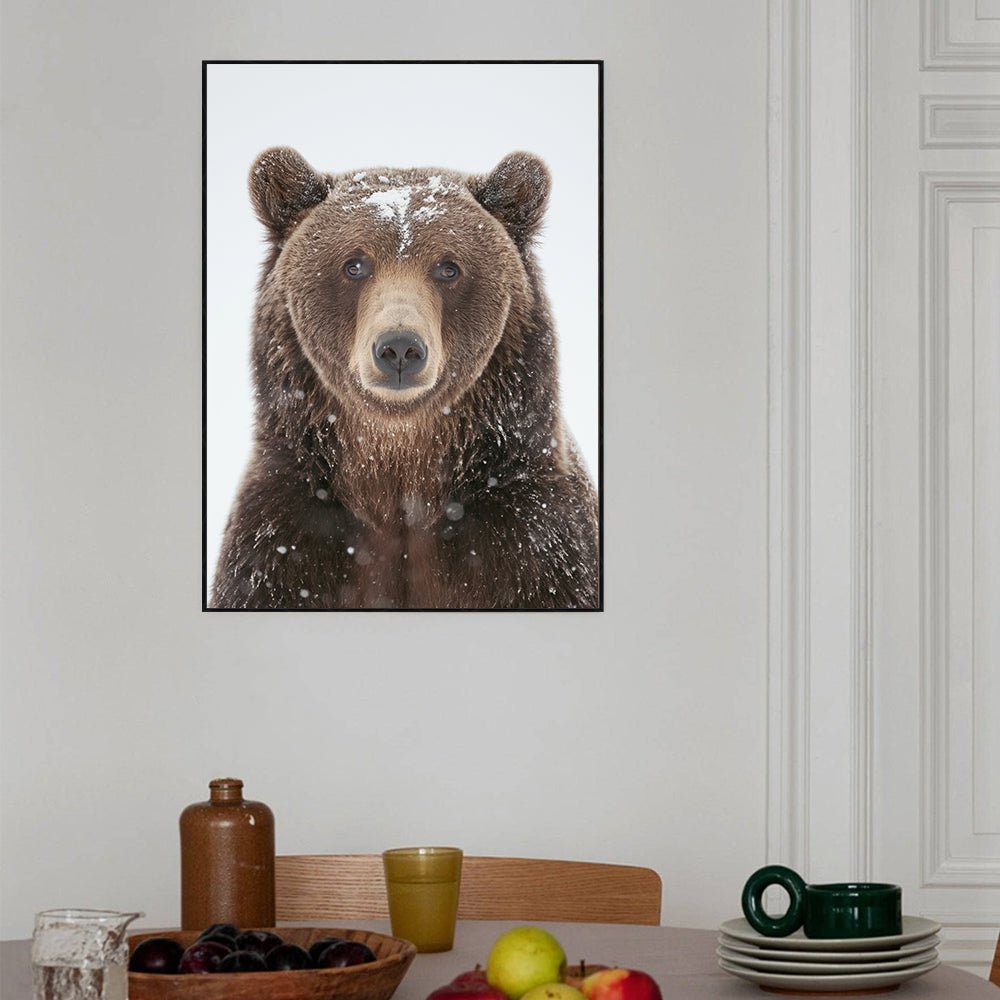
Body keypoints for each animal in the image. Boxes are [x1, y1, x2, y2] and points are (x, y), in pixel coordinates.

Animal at [210, 147, 599, 610]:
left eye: (448, 268)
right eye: (354, 265)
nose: (399, 348)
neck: (399, 477)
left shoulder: (533, 537)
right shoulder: (285, 536)